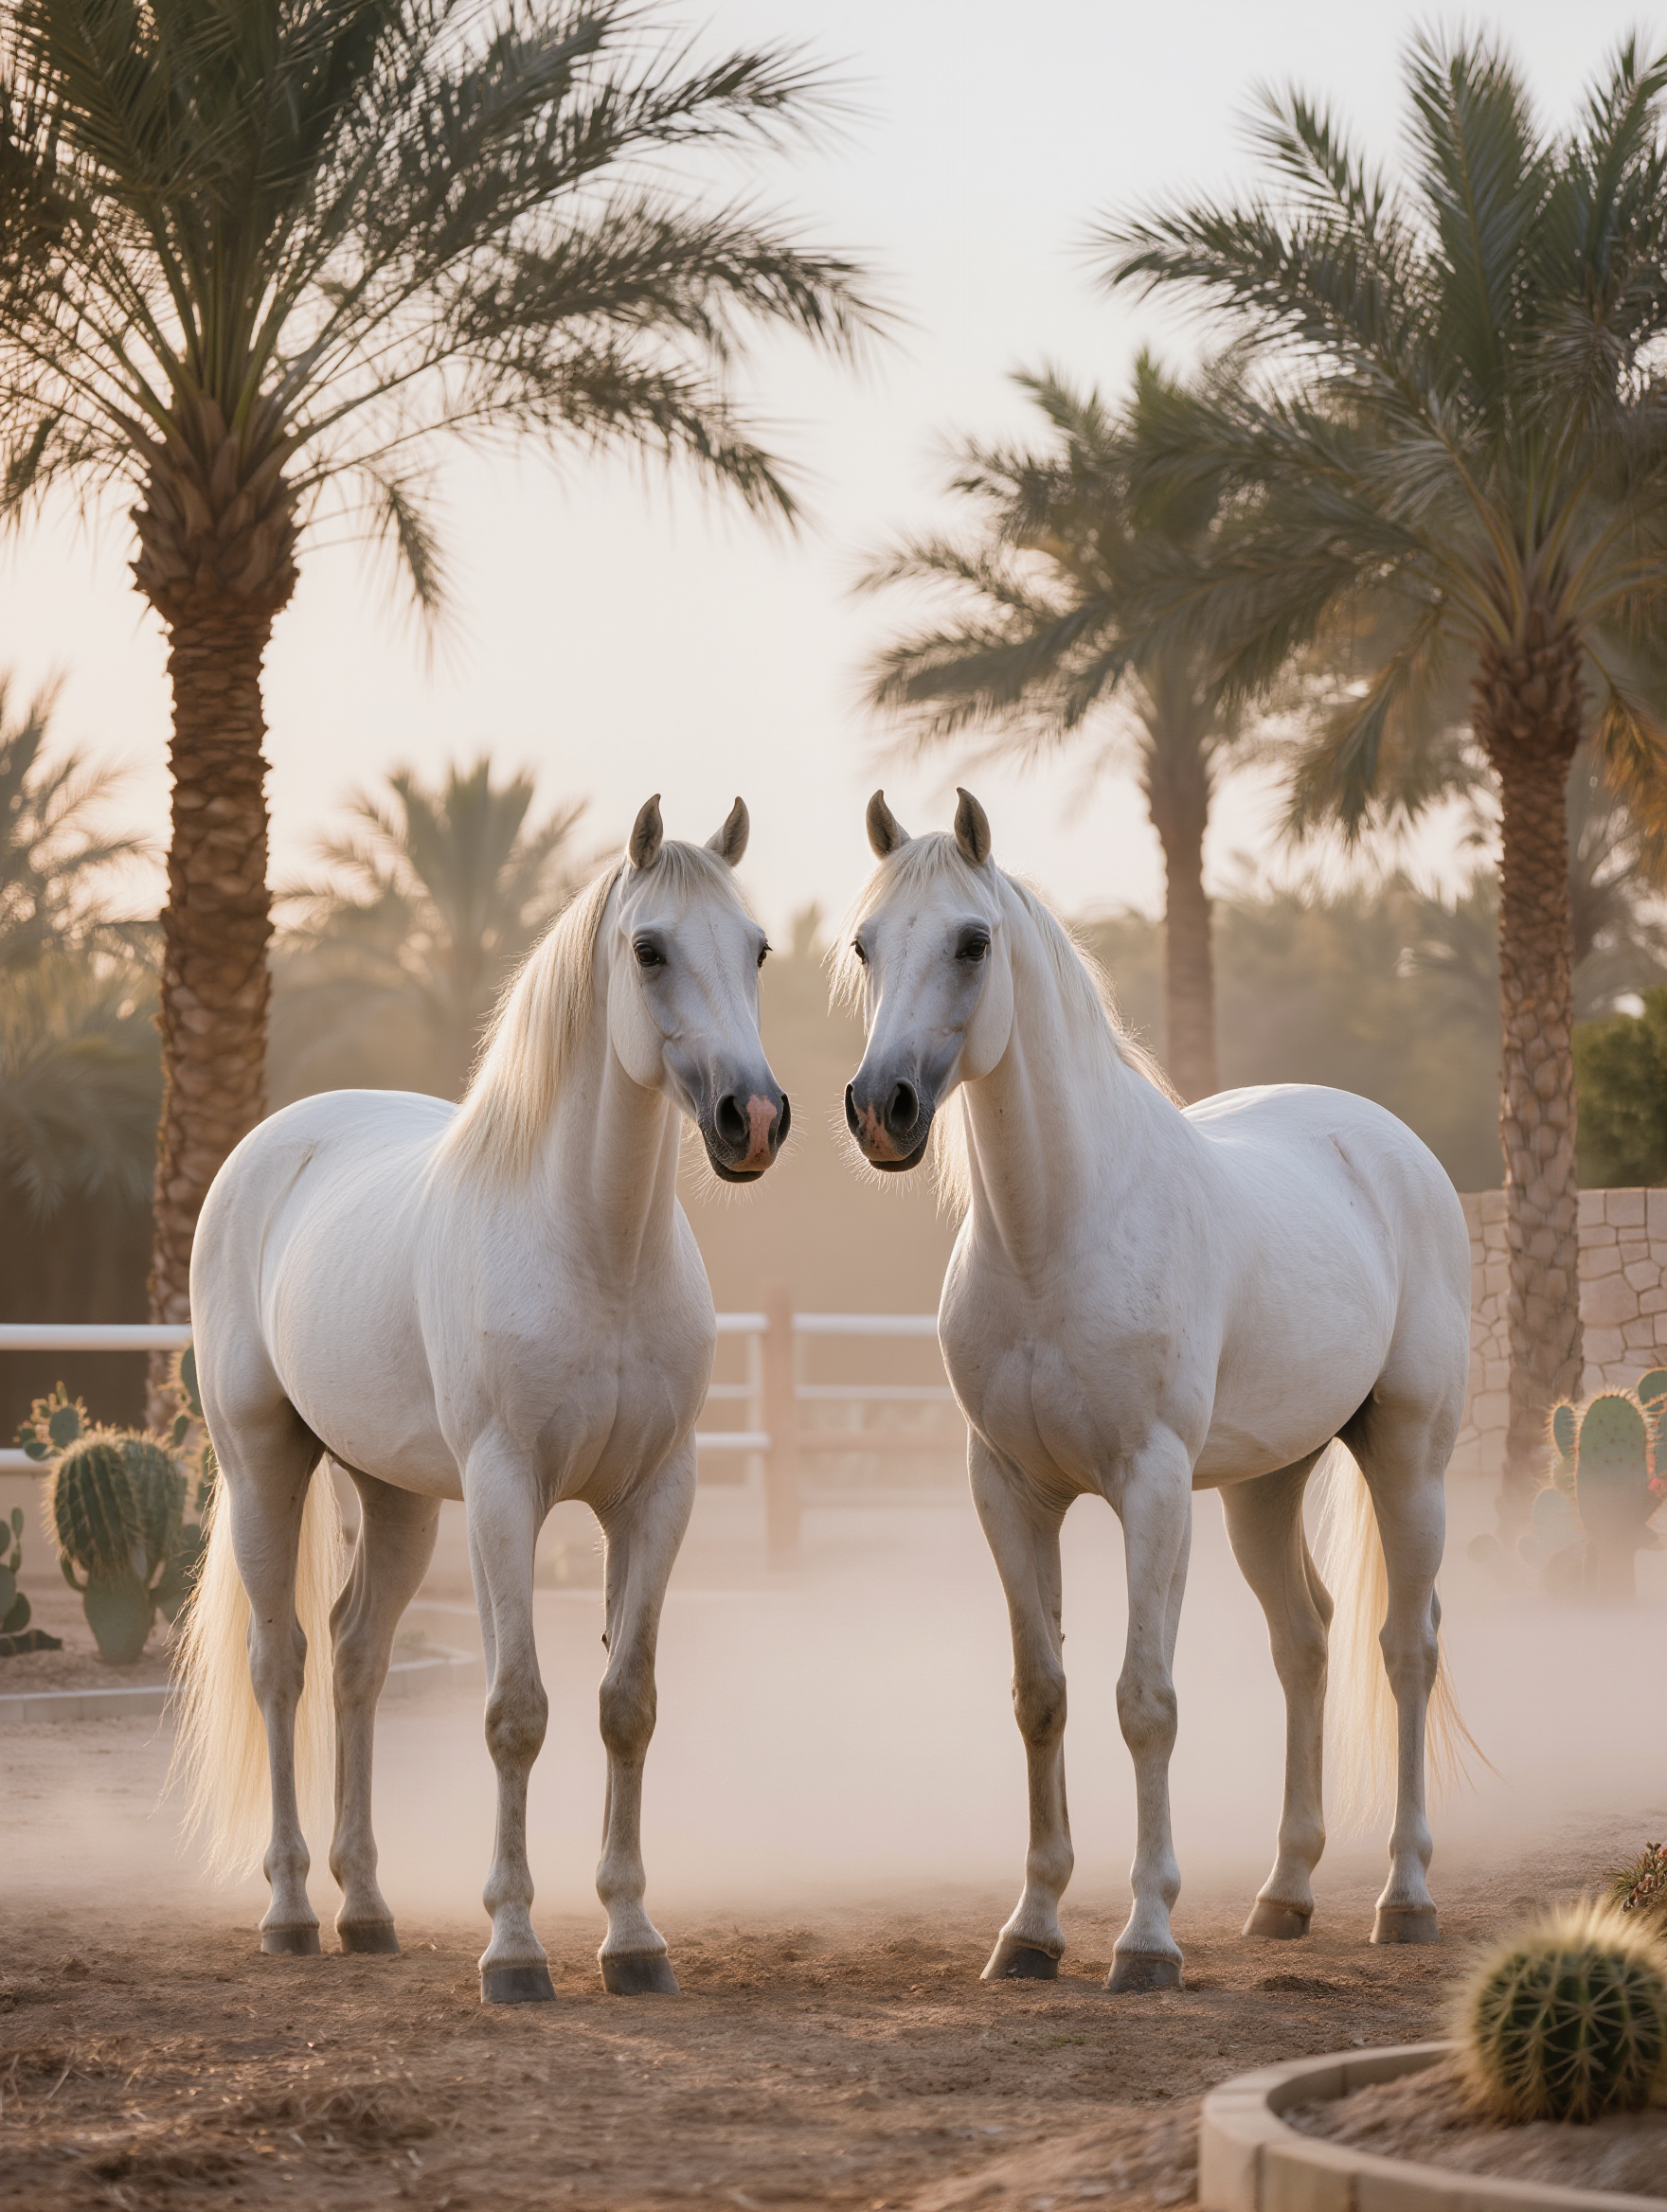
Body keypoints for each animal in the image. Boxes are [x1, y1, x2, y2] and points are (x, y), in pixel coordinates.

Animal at [172, 796, 788, 2003]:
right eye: (649, 949)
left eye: (755, 948)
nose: (753, 1116)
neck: (594, 1249)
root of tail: (274, 1143)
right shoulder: (507, 1491)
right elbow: (516, 1710)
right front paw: (513, 1947)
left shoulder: (656, 1494)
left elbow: (626, 1704)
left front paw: (632, 1937)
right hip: (264, 1464)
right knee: (284, 1664)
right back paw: (290, 1909)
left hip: (398, 1497)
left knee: (356, 1656)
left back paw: (366, 1907)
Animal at [839, 786, 1471, 1992]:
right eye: (864, 943)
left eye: (971, 940)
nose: (879, 1108)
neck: (1055, 1234)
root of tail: (1385, 1141)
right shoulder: (1007, 1491)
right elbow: (1041, 1694)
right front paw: (1031, 1928)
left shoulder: (1151, 1486)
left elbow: (1144, 1700)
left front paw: (1143, 1937)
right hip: (1265, 1486)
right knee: (1305, 1641)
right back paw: (1284, 1892)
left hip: (1407, 1457)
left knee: (1403, 1647)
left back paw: (1406, 1895)